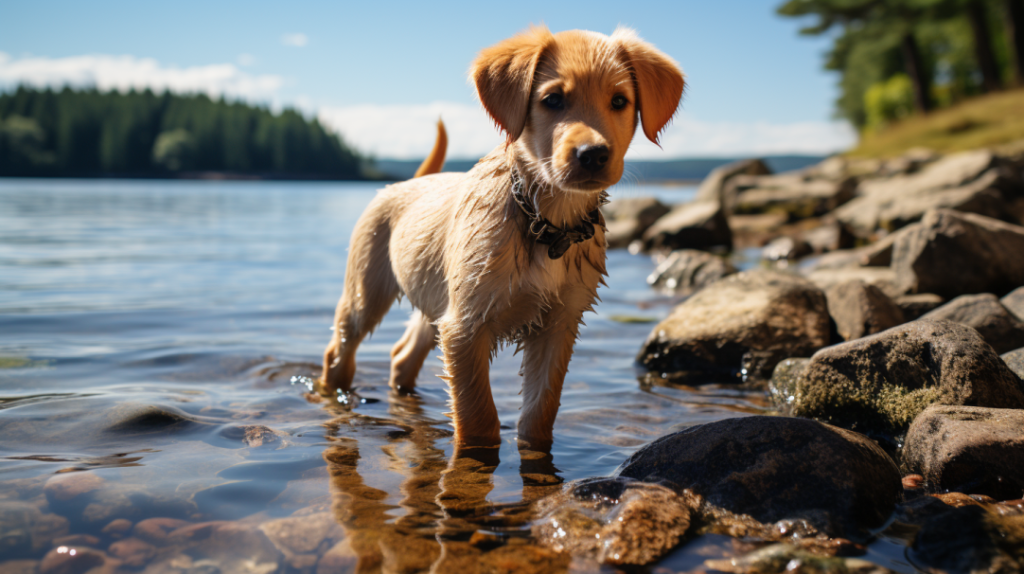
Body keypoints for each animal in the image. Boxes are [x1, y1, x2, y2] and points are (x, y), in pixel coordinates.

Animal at [319, 25, 684, 448]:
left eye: (620, 101)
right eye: (553, 99)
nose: (592, 154)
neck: (545, 223)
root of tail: (407, 184)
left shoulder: (558, 325)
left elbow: (539, 414)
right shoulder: (466, 326)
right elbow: (479, 419)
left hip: (437, 301)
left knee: (402, 356)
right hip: (367, 291)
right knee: (338, 353)